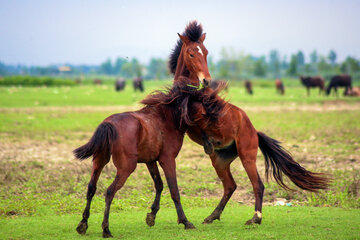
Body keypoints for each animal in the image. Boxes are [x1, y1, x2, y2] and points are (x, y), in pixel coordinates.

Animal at [169, 20, 330, 225]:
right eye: (191, 53)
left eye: (205, 52)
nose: (206, 80)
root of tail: (255, 132)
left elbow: (200, 117)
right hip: (220, 161)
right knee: (230, 186)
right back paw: (213, 216)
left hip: (247, 156)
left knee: (258, 185)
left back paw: (255, 218)